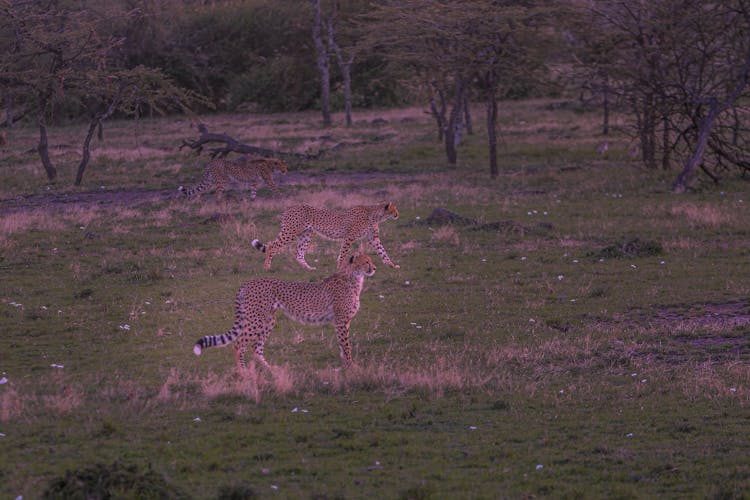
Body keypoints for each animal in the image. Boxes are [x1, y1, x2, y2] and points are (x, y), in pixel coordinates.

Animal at [194, 252, 376, 370]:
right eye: (366, 262)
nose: (374, 268)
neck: (353, 278)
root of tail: (248, 282)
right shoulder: (340, 321)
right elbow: (346, 345)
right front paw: (352, 367)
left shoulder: (342, 322)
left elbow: (342, 346)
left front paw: (346, 366)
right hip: (256, 319)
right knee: (238, 345)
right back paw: (244, 374)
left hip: (268, 320)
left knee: (255, 347)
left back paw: (271, 370)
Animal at [253, 202, 402, 272]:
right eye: (394, 209)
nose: (397, 214)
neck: (375, 215)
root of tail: (290, 207)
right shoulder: (349, 237)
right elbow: (343, 253)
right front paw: (340, 267)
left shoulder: (373, 238)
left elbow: (383, 252)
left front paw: (392, 265)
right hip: (291, 232)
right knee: (271, 246)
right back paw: (267, 267)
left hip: (306, 235)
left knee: (298, 253)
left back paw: (309, 269)